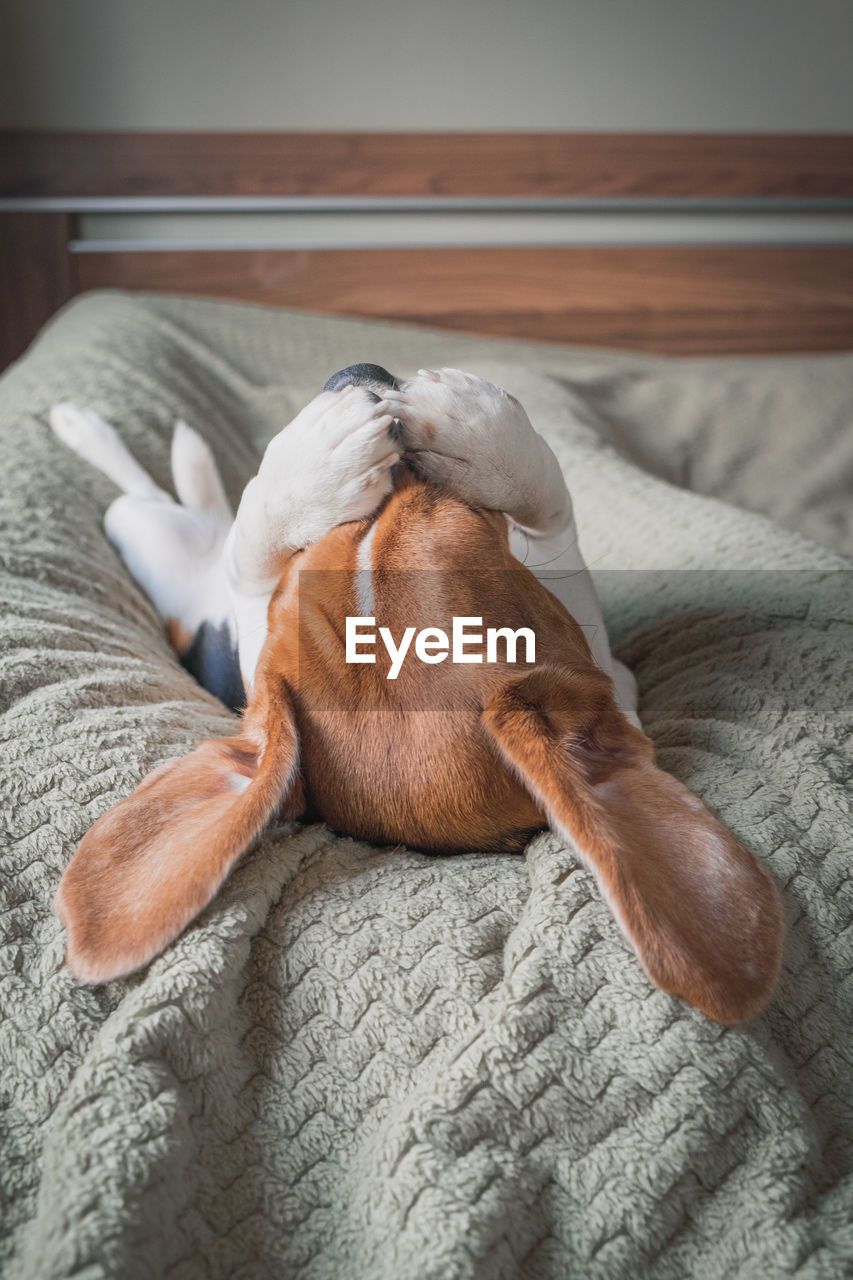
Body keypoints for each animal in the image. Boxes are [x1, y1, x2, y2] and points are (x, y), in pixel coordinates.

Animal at [46, 366, 778, 1024]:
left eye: (436, 513)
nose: (361, 372)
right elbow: (549, 514)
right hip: (147, 533)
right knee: (173, 505)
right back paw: (95, 429)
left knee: (192, 508)